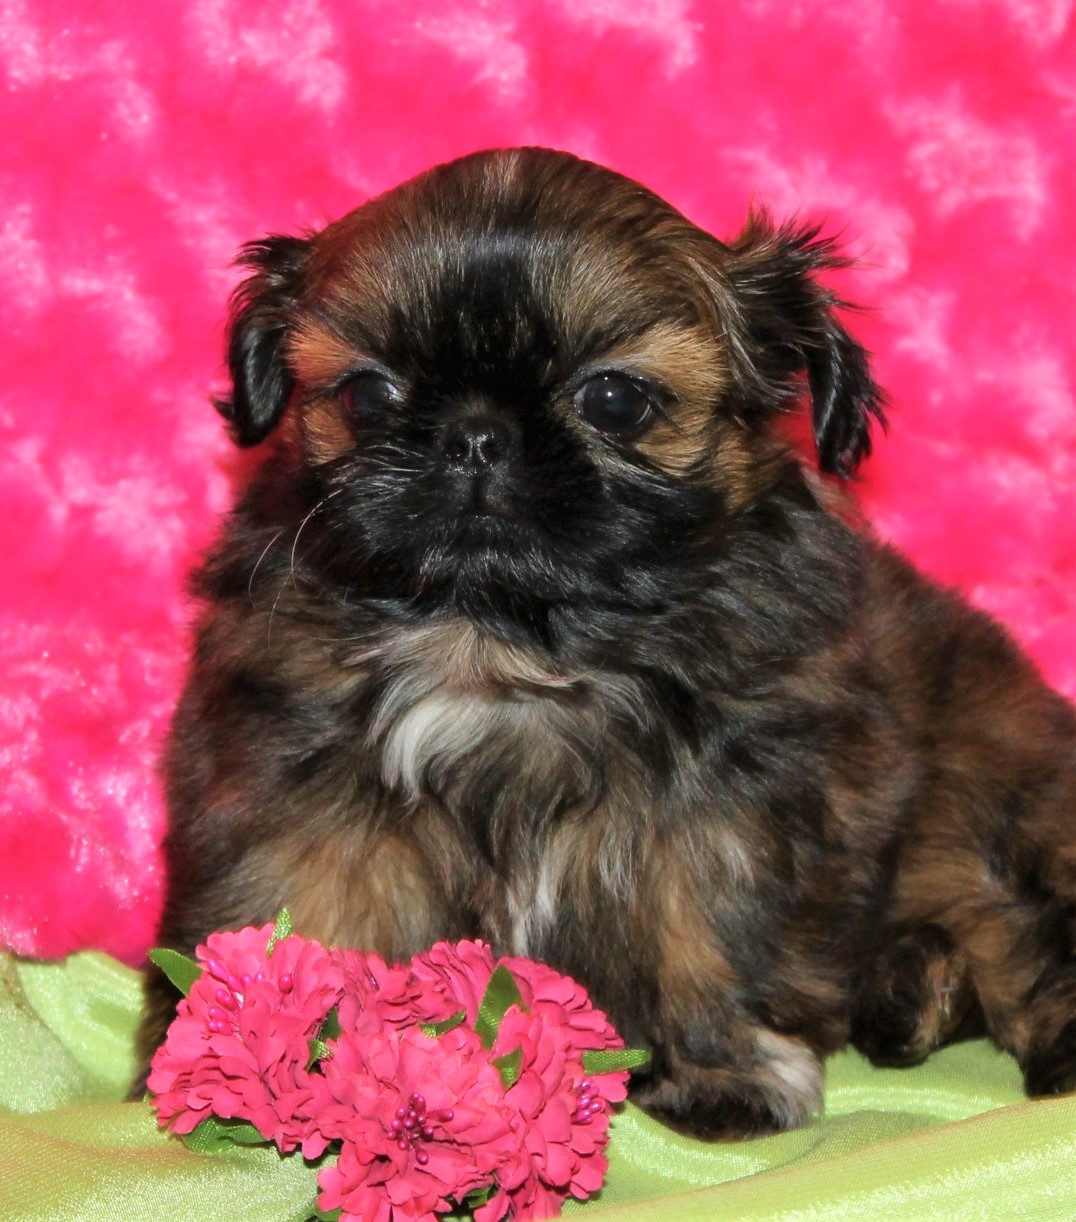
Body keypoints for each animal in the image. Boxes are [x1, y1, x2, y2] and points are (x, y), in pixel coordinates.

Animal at [138, 150, 1074, 1134]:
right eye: (366, 394)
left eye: (616, 399)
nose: (475, 435)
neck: (506, 634)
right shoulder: (295, 788)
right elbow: (290, 907)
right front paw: (259, 1061)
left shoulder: (735, 810)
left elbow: (713, 934)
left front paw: (722, 1078)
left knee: (1016, 931)